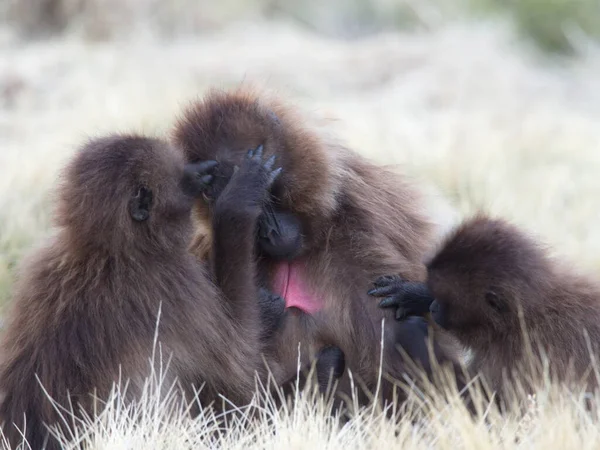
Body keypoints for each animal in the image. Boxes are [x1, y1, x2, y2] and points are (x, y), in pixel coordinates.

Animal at [0, 134, 288, 450]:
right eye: (184, 180)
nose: (205, 169)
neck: (108, 253)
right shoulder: (176, 286)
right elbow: (240, 363)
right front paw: (239, 199)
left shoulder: (39, 268)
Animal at [372, 216, 600, 396]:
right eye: (436, 293)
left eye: (445, 301)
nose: (435, 307)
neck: (529, 314)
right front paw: (415, 295)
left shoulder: (522, 354)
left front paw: (413, 334)